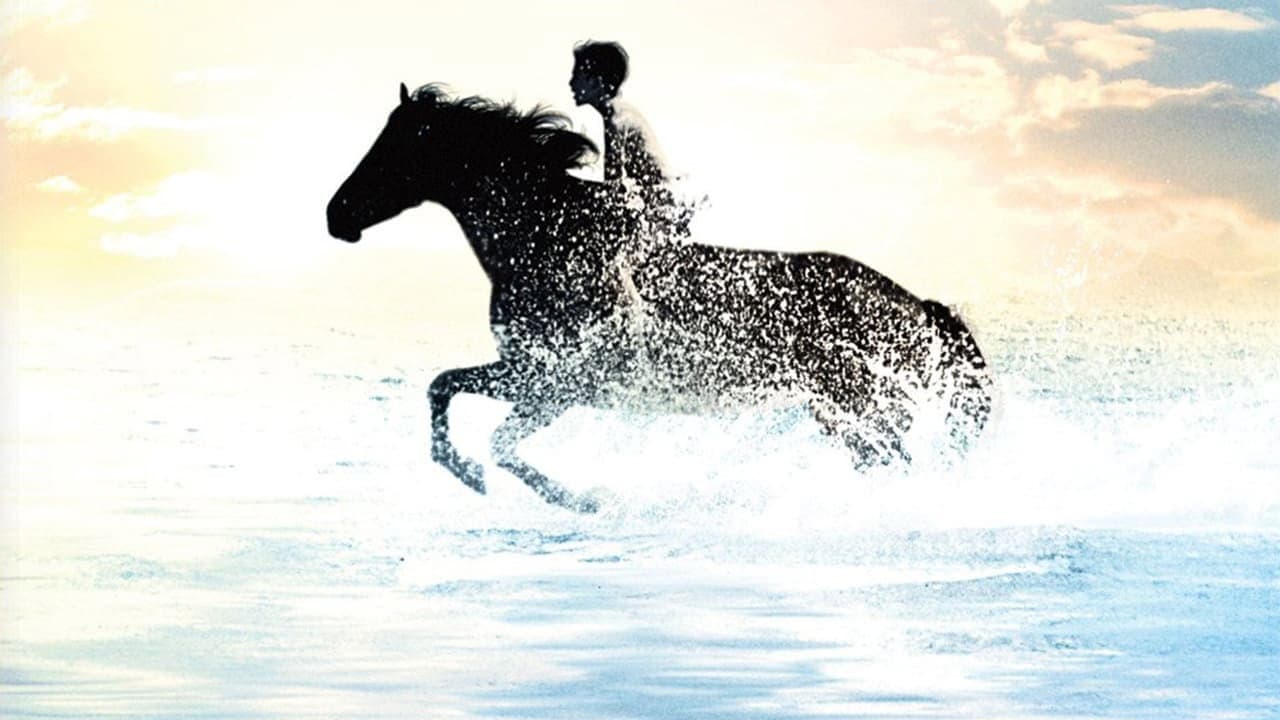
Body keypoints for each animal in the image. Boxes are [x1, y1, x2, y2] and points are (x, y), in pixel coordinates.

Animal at [326, 83, 993, 513]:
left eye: (394, 149)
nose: (337, 215)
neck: (546, 245)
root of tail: (918, 303)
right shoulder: (528, 374)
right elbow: (445, 391)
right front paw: (482, 479)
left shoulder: (560, 384)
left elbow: (493, 437)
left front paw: (575, 499)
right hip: (836, 412)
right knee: (885, 461)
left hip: (859, 403)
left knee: (899, 459)